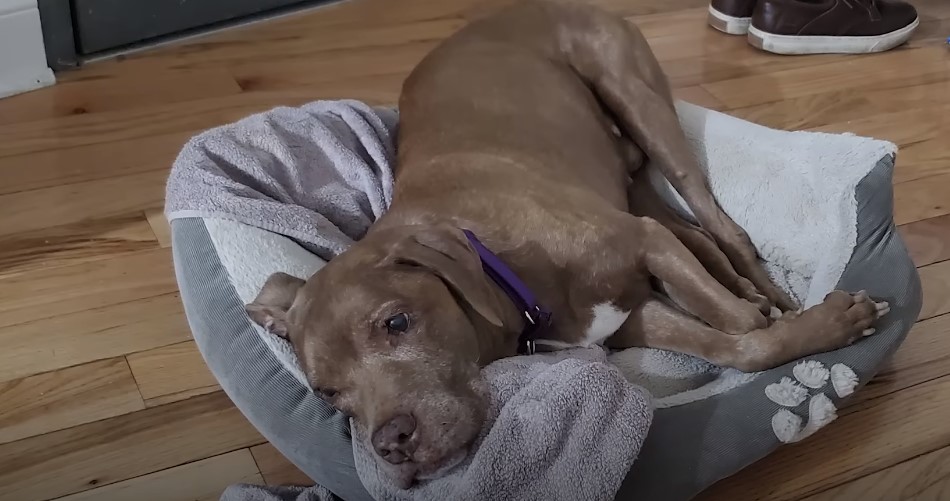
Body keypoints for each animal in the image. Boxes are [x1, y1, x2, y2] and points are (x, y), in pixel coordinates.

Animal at [245, 0, 892, 488]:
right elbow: (737, 342)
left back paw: (770, 293)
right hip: (629, 183)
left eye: (396, 322)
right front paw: (806, 331)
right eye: (328, 393)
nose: (392, 444)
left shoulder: (642, 246)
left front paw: (816, 325)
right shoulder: (630, 316)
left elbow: (740, 327)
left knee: (720, 224)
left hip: (637, 101)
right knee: (699, 235)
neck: (506, 273)